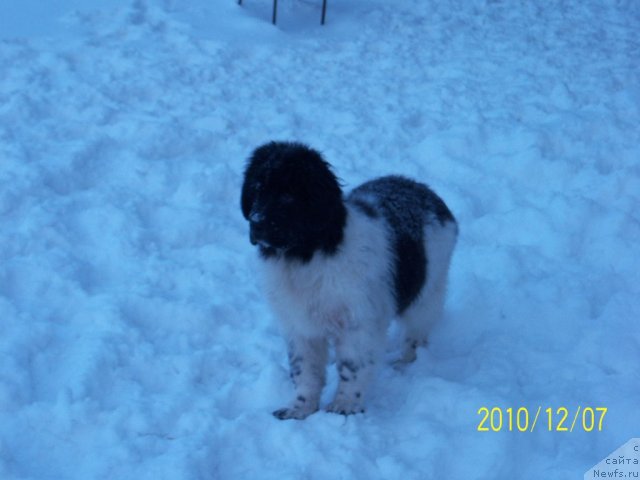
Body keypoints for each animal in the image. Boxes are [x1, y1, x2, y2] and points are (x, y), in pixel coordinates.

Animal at [239, 141, 456, 418]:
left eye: (288, 195)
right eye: (257, 189)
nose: (256, 223)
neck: (308, 256)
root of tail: (424, 190)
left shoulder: (357, 322)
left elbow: (352, 366)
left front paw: (344, 406)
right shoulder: (299, 325)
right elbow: (304, 369)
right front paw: (300, 408)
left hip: (429, 289)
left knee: (417, 332)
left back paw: (405, 362)